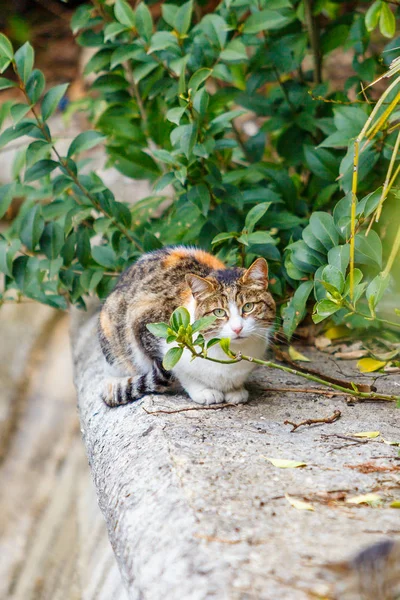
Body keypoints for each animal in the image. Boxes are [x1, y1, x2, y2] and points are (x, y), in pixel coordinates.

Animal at [98, 245, 276, 408]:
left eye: (248, 306)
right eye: (218, 312)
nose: (237, 328)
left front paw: (235, 390)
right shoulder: (144, 325)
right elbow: (178, 371)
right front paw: (203, 391)